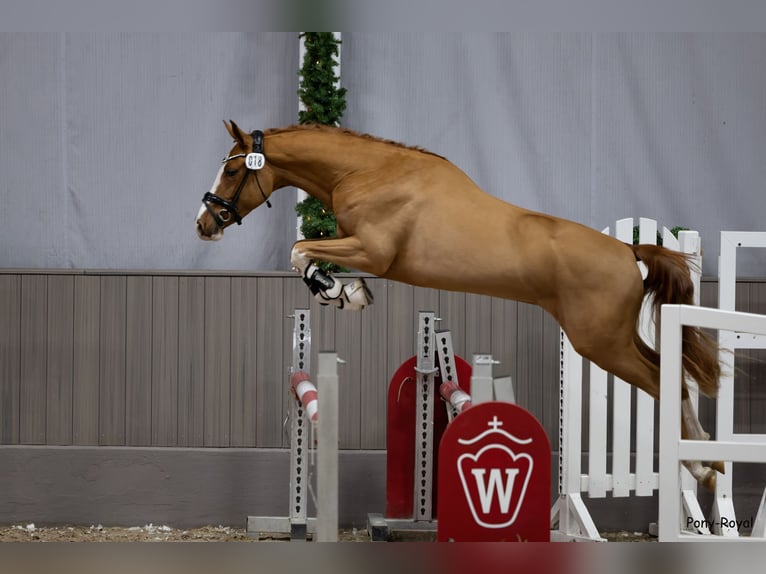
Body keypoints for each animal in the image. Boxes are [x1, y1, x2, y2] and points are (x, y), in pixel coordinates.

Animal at [196, 120, 724, 489]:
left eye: (232, 169)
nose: (205, 224)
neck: (368, 172)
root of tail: (627, 252)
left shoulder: (372, 251)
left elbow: (300, 249)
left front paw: (335, 291)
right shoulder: (360, 247)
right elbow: (306, 251)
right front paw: (348, 293)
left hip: (600, 343)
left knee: (662, 380)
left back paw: (698, 466)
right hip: (614, 338)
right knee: (673, 374)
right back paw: (709, 459)